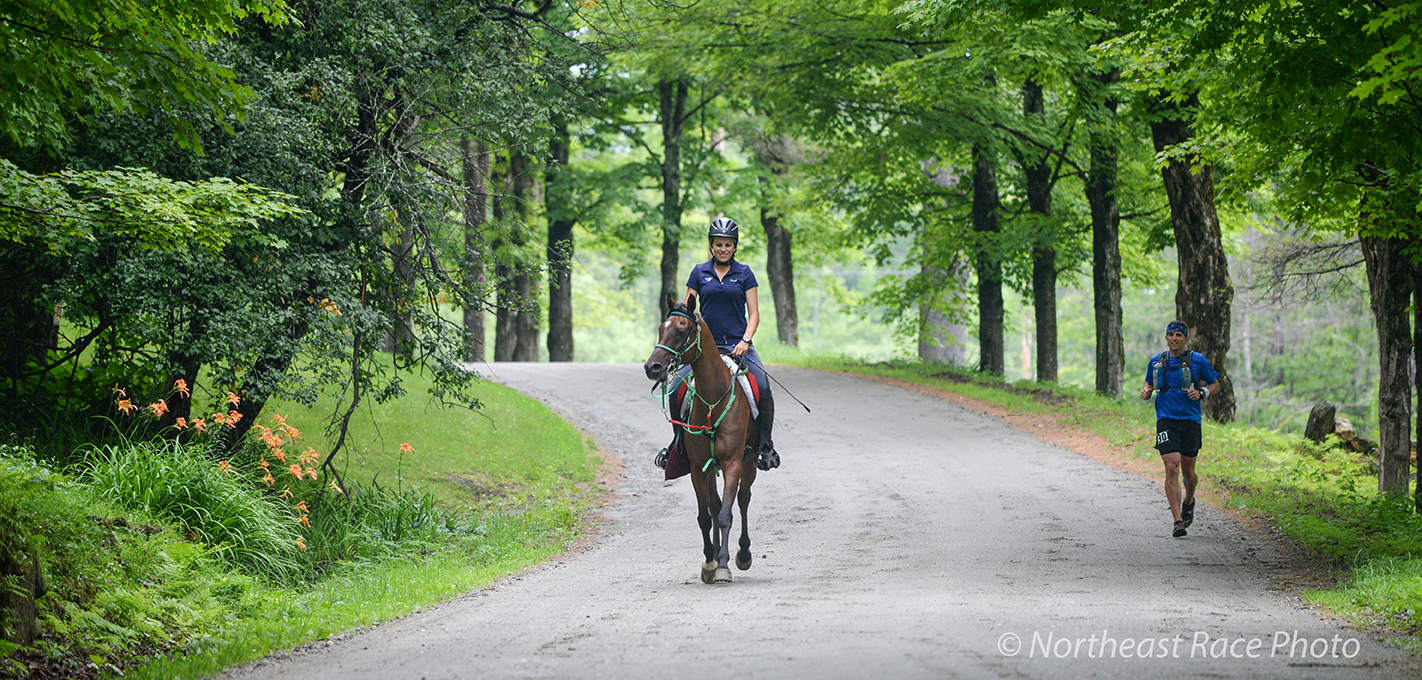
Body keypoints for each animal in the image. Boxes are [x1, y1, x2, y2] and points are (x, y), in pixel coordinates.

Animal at [642, 291, 756, 583]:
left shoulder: (732, 463)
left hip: (749, 462)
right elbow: (706, 516)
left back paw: (743, 553)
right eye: (660, 329)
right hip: (710, 468)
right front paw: (709, 561)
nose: (652, 367)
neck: (713, 398)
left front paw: (724, 565)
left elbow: (727, 513)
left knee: (743, 500)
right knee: (715, 506)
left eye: (682, 332)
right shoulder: (697, 467)